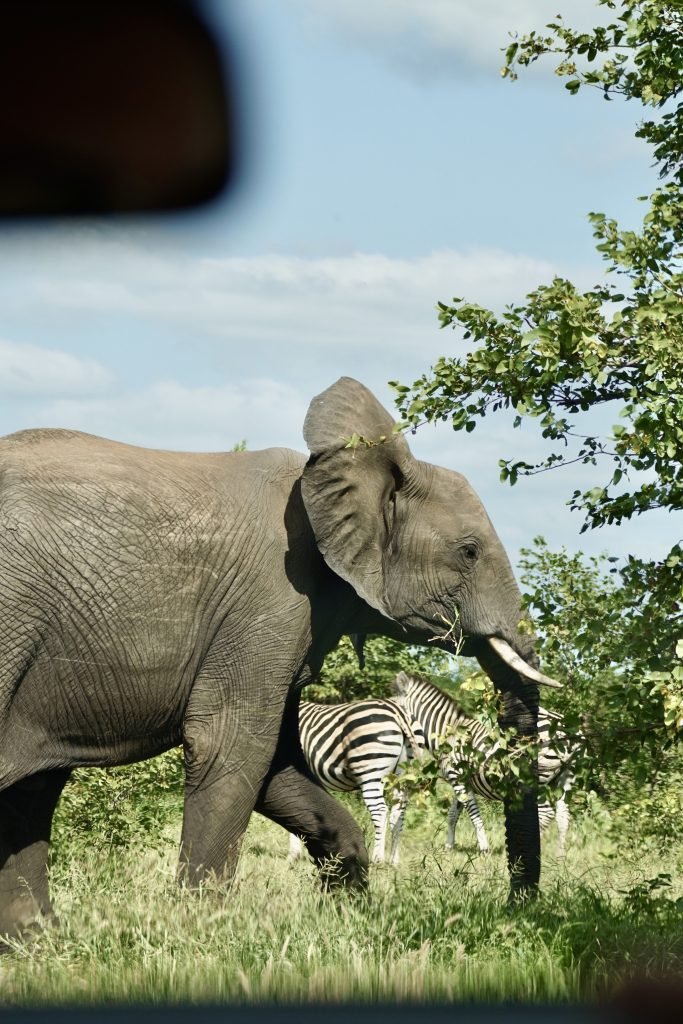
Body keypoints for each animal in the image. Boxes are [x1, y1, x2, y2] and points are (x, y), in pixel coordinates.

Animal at [286, 696, 421, 864]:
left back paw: (377, 859)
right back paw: (393, 861)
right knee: (398, 814)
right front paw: (296, 854)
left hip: (371, 773)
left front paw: (293, 855)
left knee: (380, 811)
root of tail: (398, 711)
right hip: (402, 777)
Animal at [389, 671, 577, 856]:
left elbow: (473, 814)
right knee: (563, 814)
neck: (448, 733)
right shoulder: (460, 779)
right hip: (564, 776)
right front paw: (449, 847)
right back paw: (560, 856)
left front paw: (484, 849)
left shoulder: (458, 778)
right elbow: (452, 815)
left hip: (540, 776)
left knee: (545, 813)